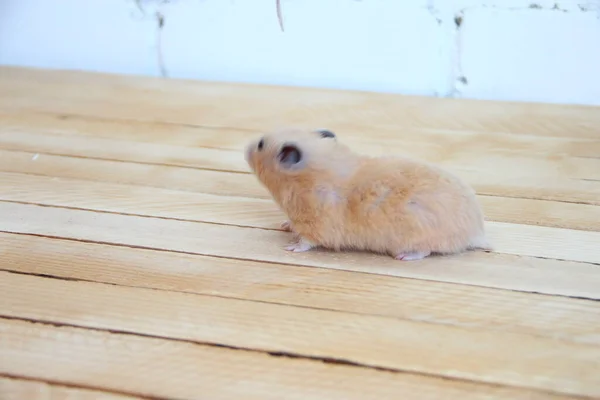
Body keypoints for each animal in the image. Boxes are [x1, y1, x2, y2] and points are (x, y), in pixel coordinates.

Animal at [241, 126, 490, 260]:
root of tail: (476, 232)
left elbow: (306, 241)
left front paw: (290, 247)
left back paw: (403, 257)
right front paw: (284, 225)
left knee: (426, 251)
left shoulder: (316, 225)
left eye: (261, 145)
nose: (245, 147)